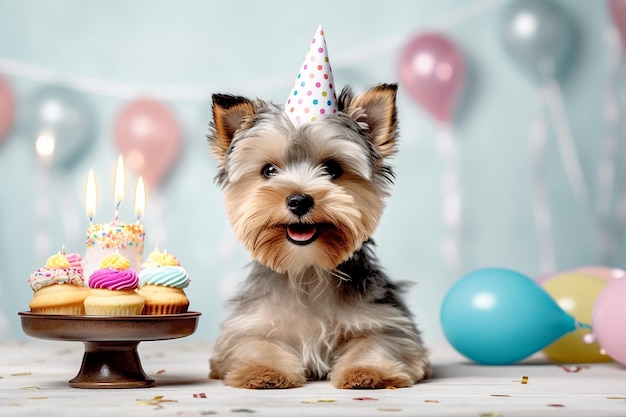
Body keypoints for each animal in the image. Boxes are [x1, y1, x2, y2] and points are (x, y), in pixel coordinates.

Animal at [205, 83, 428, 388]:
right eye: (268, 170)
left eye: (332, 169)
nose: (299, 200)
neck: (308, 270)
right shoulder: (247, 325)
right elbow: (256, 344)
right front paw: (264, 371)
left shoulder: (386, 318)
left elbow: (376, 342)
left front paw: (368, 371)